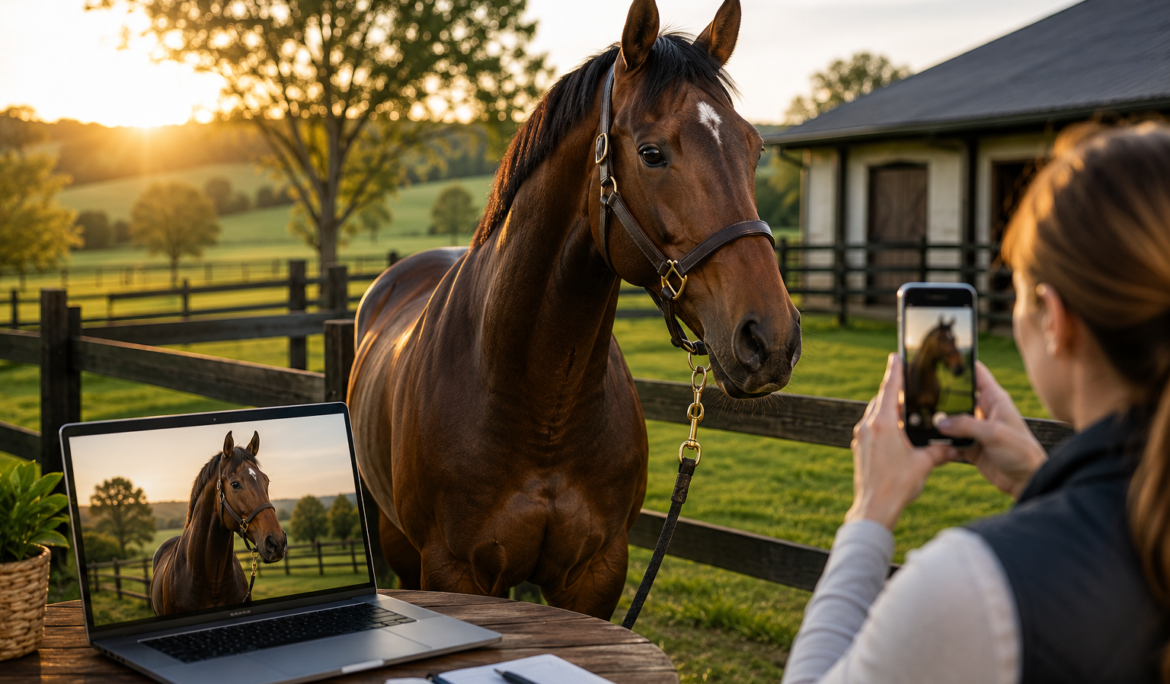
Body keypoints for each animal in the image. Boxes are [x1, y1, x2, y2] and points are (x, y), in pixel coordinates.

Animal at [348, 0, 802, 619]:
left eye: (753, 150)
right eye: (651, 153)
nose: (771, 339)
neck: (541, 409)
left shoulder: (595, 574)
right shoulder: (452, 570)